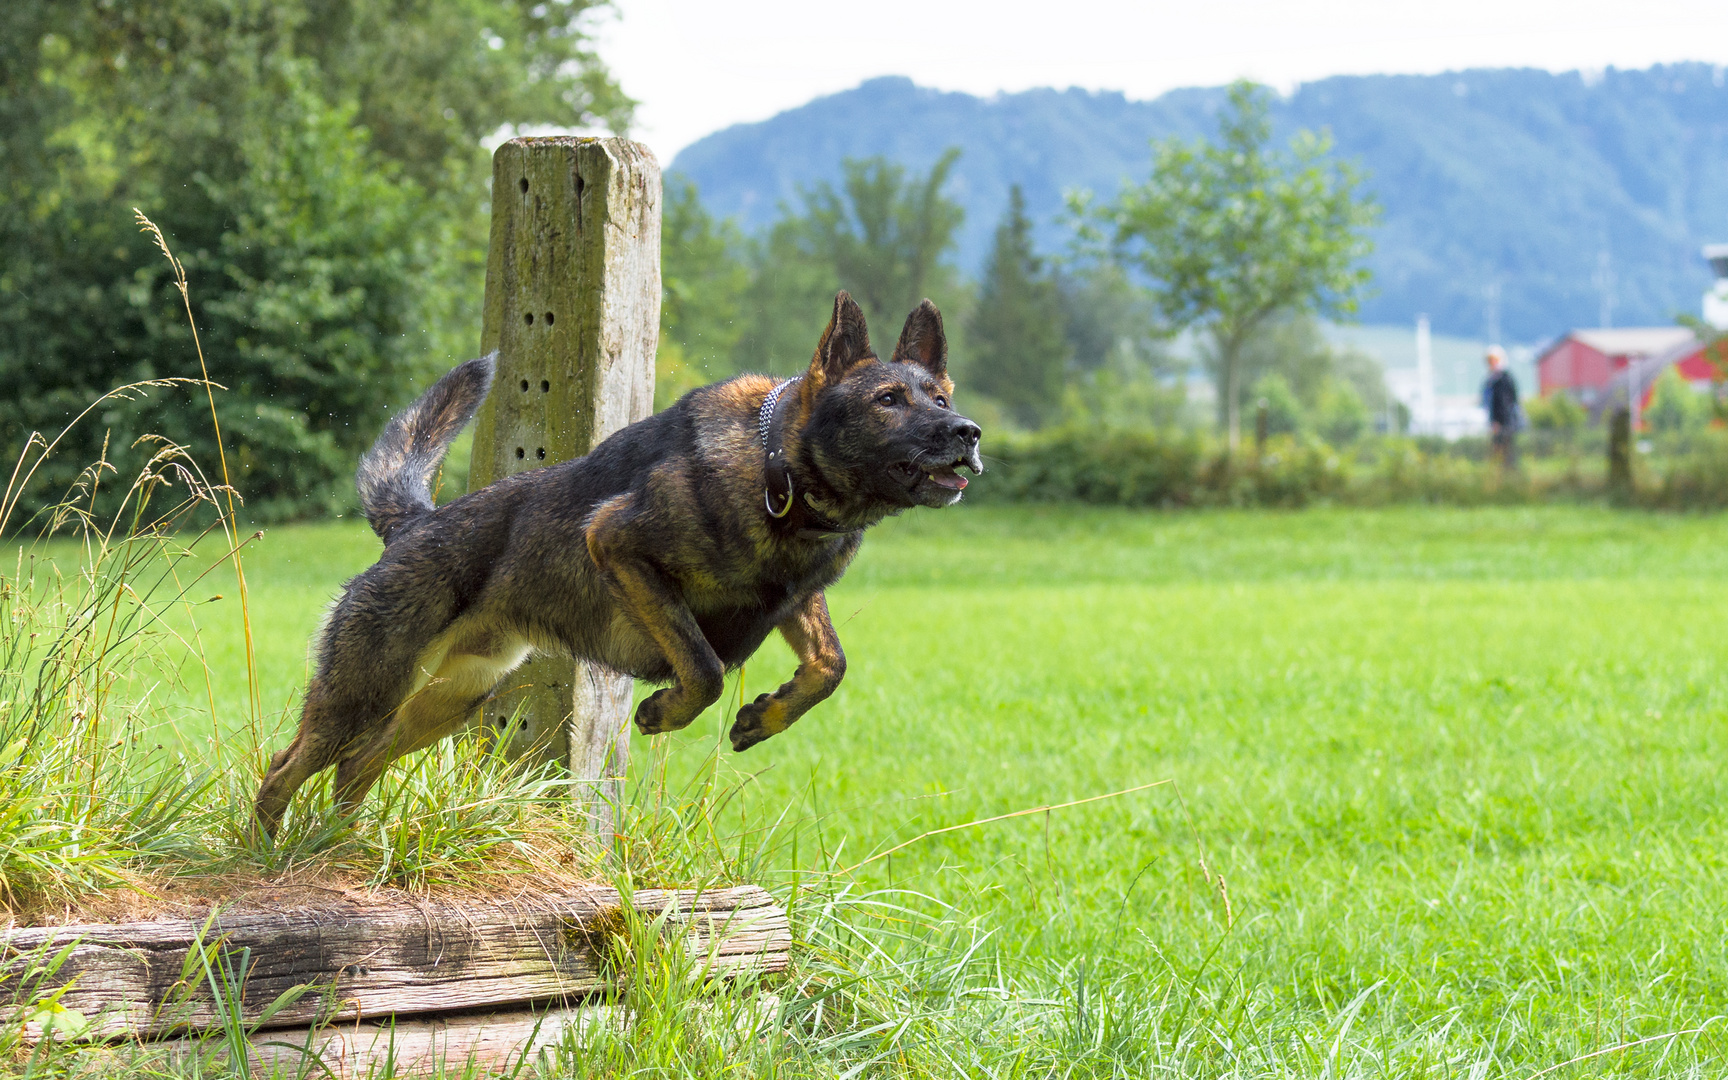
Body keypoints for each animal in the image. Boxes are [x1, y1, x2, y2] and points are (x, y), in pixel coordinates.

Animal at [255, 292, 988, 832]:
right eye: (888, 400)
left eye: (941, 399)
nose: (969, 433)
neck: (774, 465)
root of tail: (413, 524)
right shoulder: (620, 546)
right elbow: (705, 667)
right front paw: (665, 712)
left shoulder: (795, 598)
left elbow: (830, 665)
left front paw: (766, 716)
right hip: (368, 691)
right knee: (283, 768)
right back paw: (272, 852)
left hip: (448, 700)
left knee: (354, 767)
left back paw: (340, 846)